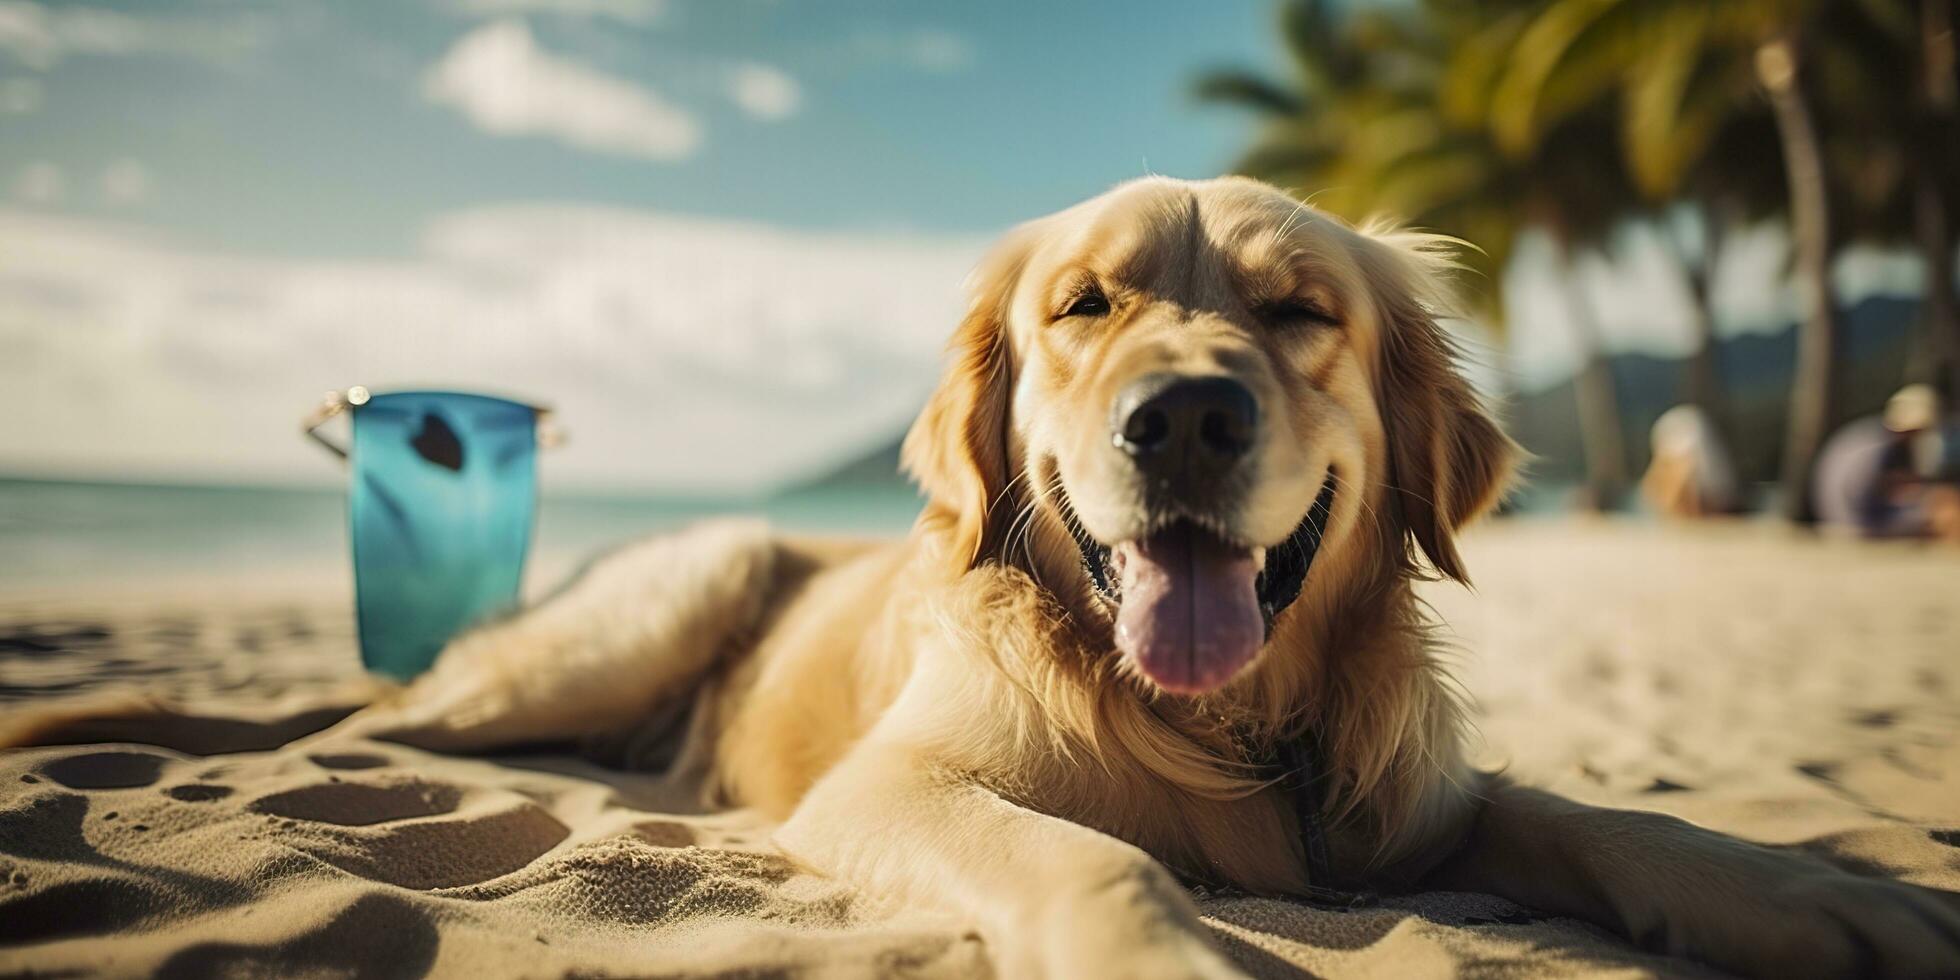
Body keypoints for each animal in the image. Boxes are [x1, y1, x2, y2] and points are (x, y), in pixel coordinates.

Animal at [7, 178, 1952, 980]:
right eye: (1085, 305)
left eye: (1296, 312)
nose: (1183, 417)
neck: (1229, 724)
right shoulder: (902, 785)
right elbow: (1097, 862)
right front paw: (1163, 959)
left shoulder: (1410, 798)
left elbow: (1607, 819)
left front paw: (1817, 896)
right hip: (623, 622)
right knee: (385, 717)